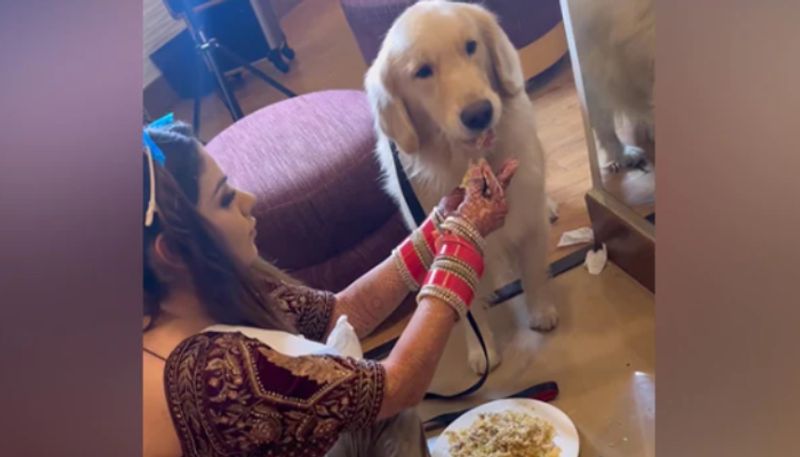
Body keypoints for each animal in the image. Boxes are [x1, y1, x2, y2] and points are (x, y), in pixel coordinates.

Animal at [368, 0, 556, 372]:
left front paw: (540, 311)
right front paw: (482, 351)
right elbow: (461, 301)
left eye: (471, 46)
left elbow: (532, 271)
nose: (479, 113)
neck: (470, 157)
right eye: (422, 72)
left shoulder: (528, 219)